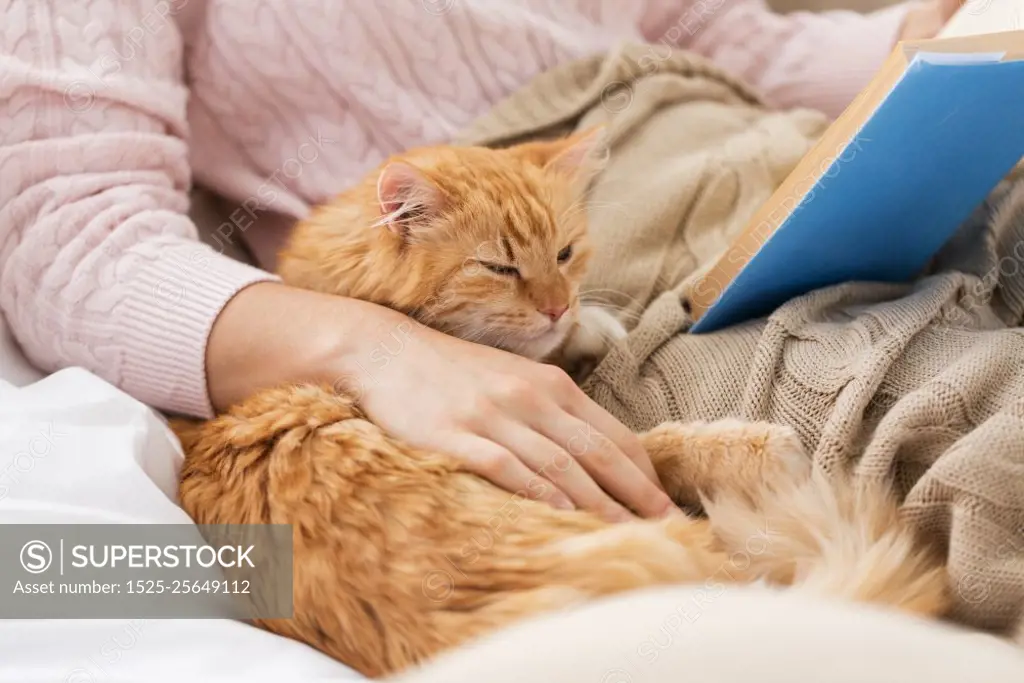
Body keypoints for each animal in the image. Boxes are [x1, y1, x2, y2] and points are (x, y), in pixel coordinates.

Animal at [172, 127, 946, 679]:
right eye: (500, 267)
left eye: (566, 253)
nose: (555, 305)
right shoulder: (584, 446)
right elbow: (655, 443)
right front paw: (757, 444)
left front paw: (585, 326)